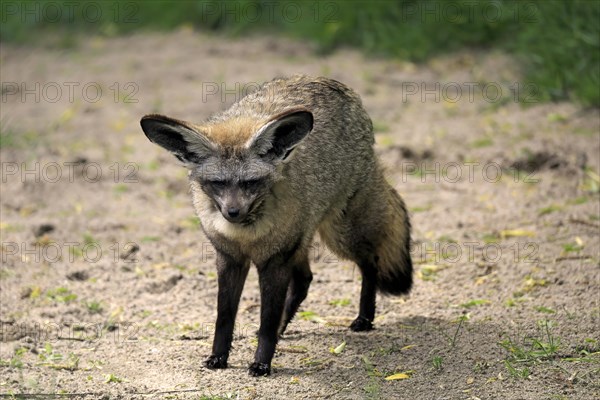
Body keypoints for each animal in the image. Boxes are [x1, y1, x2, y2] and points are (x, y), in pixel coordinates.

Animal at [141, 76, 412, 378]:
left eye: (250, 183)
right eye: (218, 183)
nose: (232, 212)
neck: (246, 235)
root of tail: (331, 83)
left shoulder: (275, 259)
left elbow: (267, 320)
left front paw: (262, 362)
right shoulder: (230, 258)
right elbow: (224, 317)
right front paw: (218, 357)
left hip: (338, 235)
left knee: (370, 261)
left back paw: (364, 318)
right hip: (302, 241)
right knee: (305, 280)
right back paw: (287, 328)